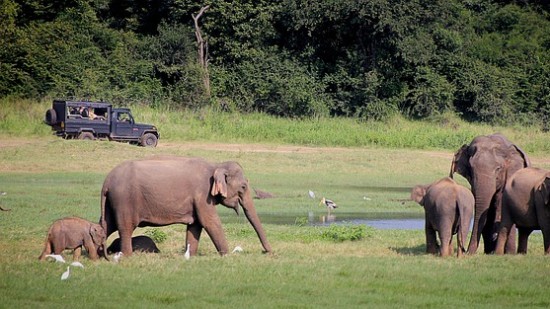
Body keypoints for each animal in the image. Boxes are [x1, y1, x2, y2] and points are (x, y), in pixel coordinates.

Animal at [100, 155, 272, 256]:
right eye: (243, 187)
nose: (267, 252)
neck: (216, 165)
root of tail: (106, 182)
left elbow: (195, 226)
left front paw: (190, 256)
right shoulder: (203, 195)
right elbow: (209, 222)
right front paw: (226, 255)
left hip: (112, 203)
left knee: (106, 225)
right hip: (124, 200)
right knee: (125, 227)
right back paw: (127, 256)